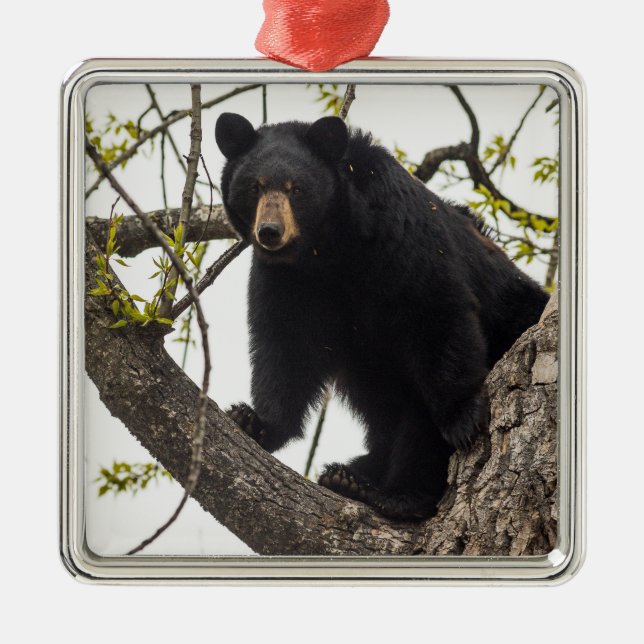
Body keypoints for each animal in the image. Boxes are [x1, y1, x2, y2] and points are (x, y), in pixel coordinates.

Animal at [215, 112, 548, 521]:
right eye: (255, 187)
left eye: (297, 189)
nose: (270, 232)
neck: (328, 250)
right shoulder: (287, 280)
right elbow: (285, 346)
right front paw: (255, 421)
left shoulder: (400, 237)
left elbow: (436, 313)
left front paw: (463, 417)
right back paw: (350, 475)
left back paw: (396, 494)